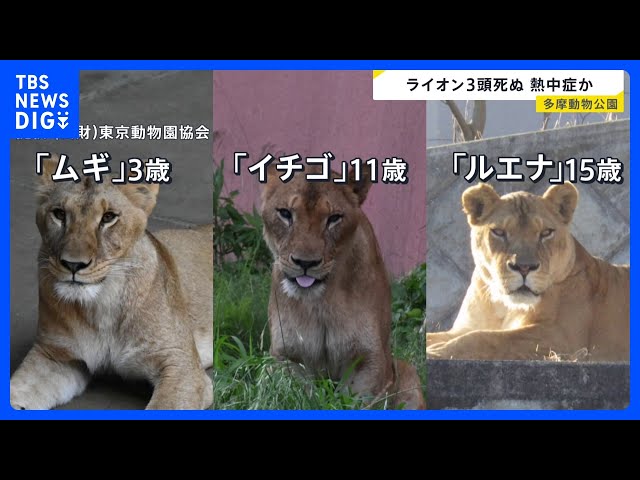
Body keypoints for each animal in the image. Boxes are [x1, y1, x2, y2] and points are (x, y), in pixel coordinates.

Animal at [10, 155, 213, 410]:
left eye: (108, 217)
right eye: (59, 214)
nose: (73, 264)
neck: (101, 306)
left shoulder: (181, 365)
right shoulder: (55, 356)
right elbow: (17, 389)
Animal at [261, 161, 425, 409]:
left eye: (334, 218)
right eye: (285, 214)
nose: (305, 263)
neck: (321, 302)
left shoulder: (370, 359)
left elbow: (356, 401)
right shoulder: (286, 356)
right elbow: (294, 396)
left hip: (406, 372)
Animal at [427, 182, 629, 362]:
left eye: (546, 232)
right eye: (499, 232)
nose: (524, 267)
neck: (503, 306)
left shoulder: (563, 337)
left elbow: (488, 338)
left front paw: (434, 352)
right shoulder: (464, 327)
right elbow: (438, 335)